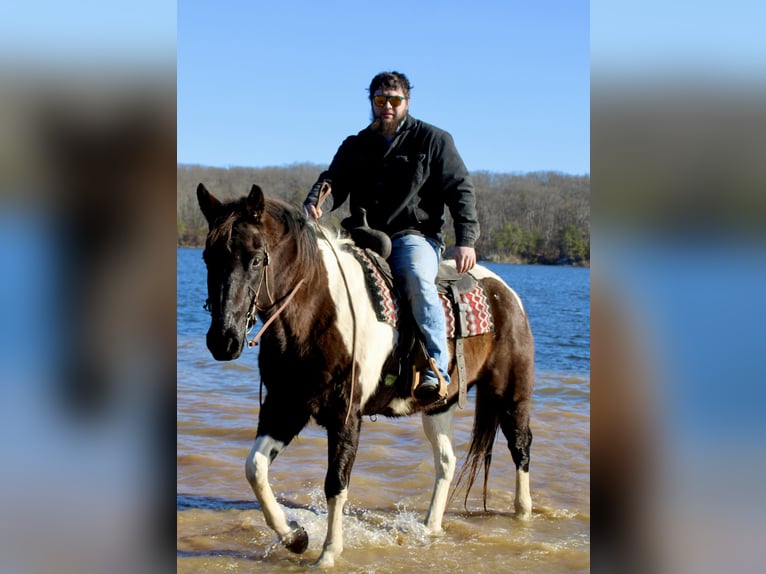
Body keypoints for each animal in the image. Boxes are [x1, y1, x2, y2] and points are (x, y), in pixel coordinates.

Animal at [195, 183, 536, 568]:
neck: (317, 312)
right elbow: (254, 468)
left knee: (520, 447)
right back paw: (430, 527)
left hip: (510, 393)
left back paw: (523, 513)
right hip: (439, 406)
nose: (223, 340)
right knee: (446, 462)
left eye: (255, 259)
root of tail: (505, 292)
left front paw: (329, 553)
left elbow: (336, 483)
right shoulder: (285, 407)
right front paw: (295, 536)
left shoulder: (345, 416)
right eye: (208, 258)